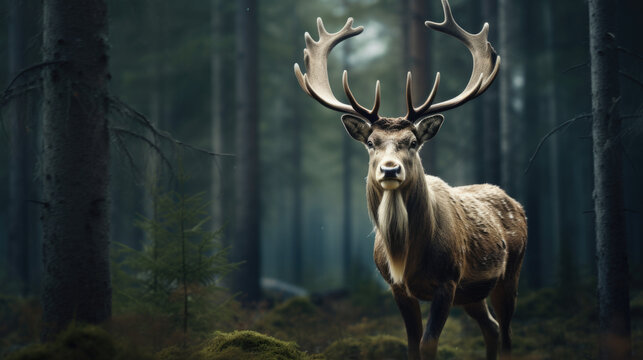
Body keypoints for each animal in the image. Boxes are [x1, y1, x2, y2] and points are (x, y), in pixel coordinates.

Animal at [296, 0, 528, 360]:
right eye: (371, 142)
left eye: (413, 141)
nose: (390, 170)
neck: (407, 255)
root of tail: (517, 205)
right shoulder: (397, 288)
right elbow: (411, 344)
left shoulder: (447, 281)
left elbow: (428, 343)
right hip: (472, 294)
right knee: (490, 328)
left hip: (510, 273)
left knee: (505, 335)